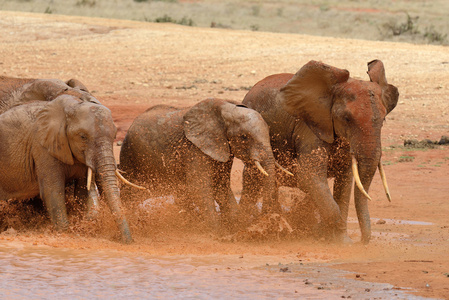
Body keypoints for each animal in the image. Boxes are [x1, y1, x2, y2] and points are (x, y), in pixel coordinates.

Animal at [0, 96, 133, 244]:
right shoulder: (43, 148)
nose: (127, 242)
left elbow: (82, 191)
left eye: (114, 136)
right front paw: (65, 233)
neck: (71, 107)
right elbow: (52, 191)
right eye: (82, 137)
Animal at [119, 97, 280, 231]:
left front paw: (235, 225)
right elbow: (199, 187)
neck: (225, 110)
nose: (267, 220)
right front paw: (218, 232)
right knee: (129, 194)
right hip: (129, 156)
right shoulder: (194, 148)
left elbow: (220, 186)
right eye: (244, 137)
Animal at [240, 59, 398, 244]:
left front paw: (340, 241)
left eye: (384, 119)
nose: (360, 242)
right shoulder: (309, 128)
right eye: (347, 119)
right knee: (253, 179)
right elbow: (309, 176)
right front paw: (325, 235)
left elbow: (345, 182)